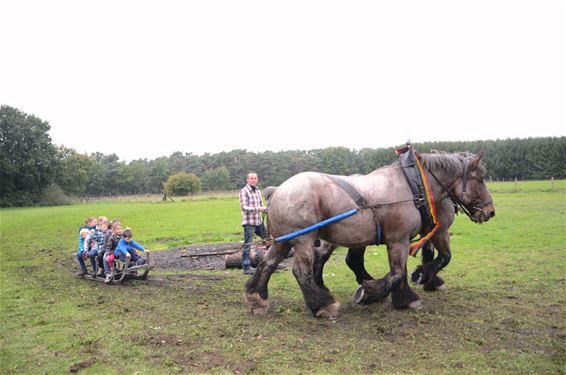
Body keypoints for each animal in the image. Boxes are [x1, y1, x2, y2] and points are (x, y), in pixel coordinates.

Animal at [246, 153, 494, 320]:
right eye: (480, 179)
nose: (490, 211)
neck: (414, 186)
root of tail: (277, 191)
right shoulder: (401, 239)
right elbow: (400, 272)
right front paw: (390, 293)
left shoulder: (419, 235)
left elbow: (414, 265)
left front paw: (416, 283)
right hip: (303, 239)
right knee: (301, 271)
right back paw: (322, 305)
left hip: (285, 240)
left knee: (268, 263)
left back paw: (257, 297)